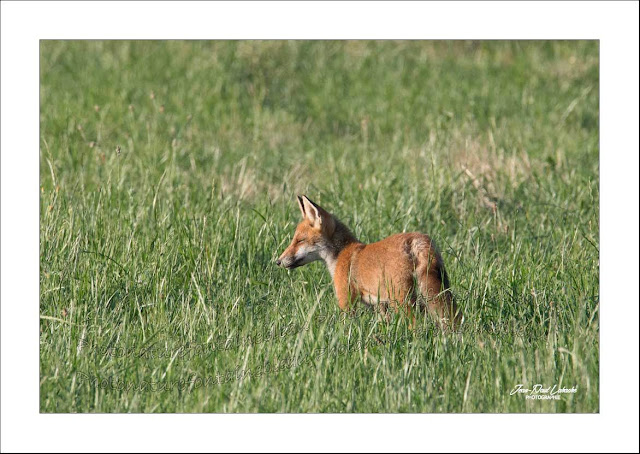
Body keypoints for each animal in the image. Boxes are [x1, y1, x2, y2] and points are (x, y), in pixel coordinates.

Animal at [278, 195, 462, 330]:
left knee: (415, 325)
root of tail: (417, 240)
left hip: (403, 301)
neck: (341, 254)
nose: (278, 261)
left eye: (300, 240)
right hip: (435, 294)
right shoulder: (380, 306)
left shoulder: (346, 301)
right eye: (295, 240)